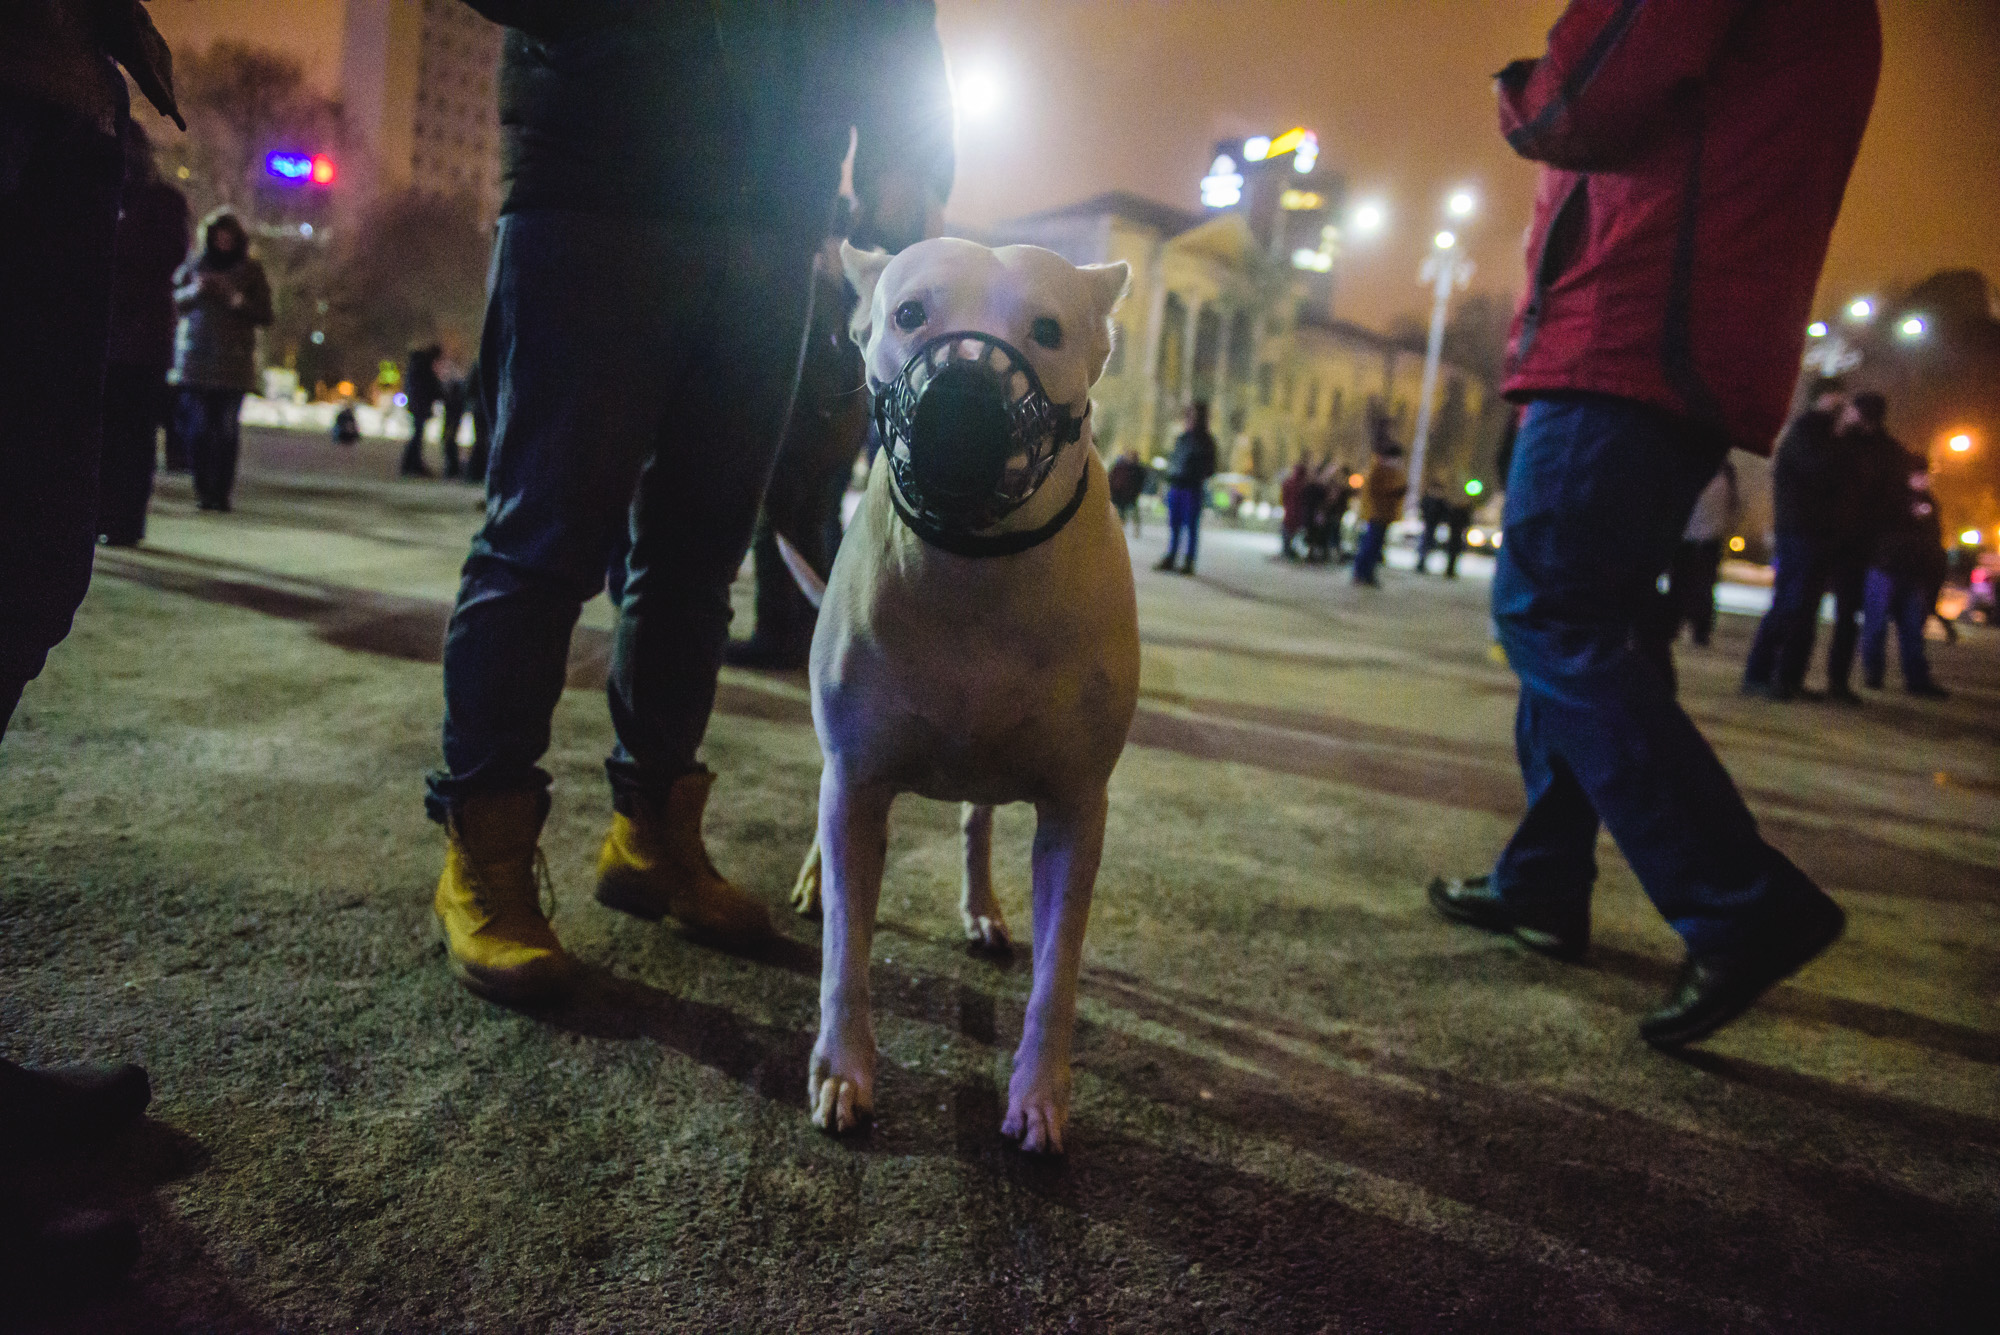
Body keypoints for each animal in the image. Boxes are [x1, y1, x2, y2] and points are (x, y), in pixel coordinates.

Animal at [796, 234, 1144, 1151]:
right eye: (909, 313)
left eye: (1048, 330)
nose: (963, 396)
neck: (975, 568)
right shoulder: (855, 780)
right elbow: (846, 949)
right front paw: (843, 1069)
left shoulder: (1076, 809)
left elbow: (1057, 974)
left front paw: (1039, 1094)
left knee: (976, 818)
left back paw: (982, 904)